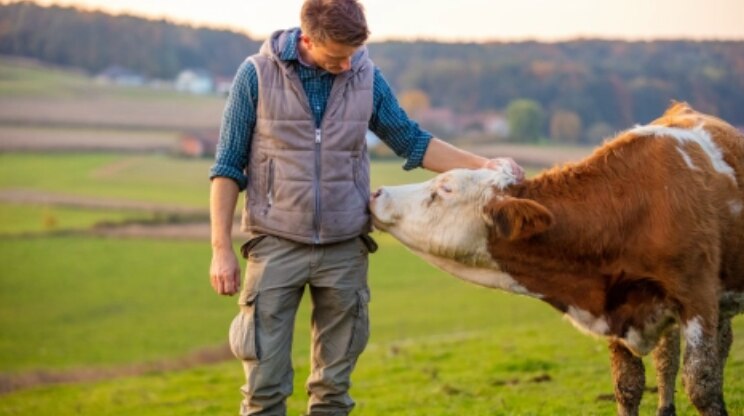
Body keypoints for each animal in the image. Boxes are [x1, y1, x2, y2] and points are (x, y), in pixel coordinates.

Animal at [369, 103, 744, 416]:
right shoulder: (613, 302)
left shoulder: (696, 297)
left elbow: (702, 384)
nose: (378, 193)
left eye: (444, 190)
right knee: (671, 356)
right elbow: (627, 386)